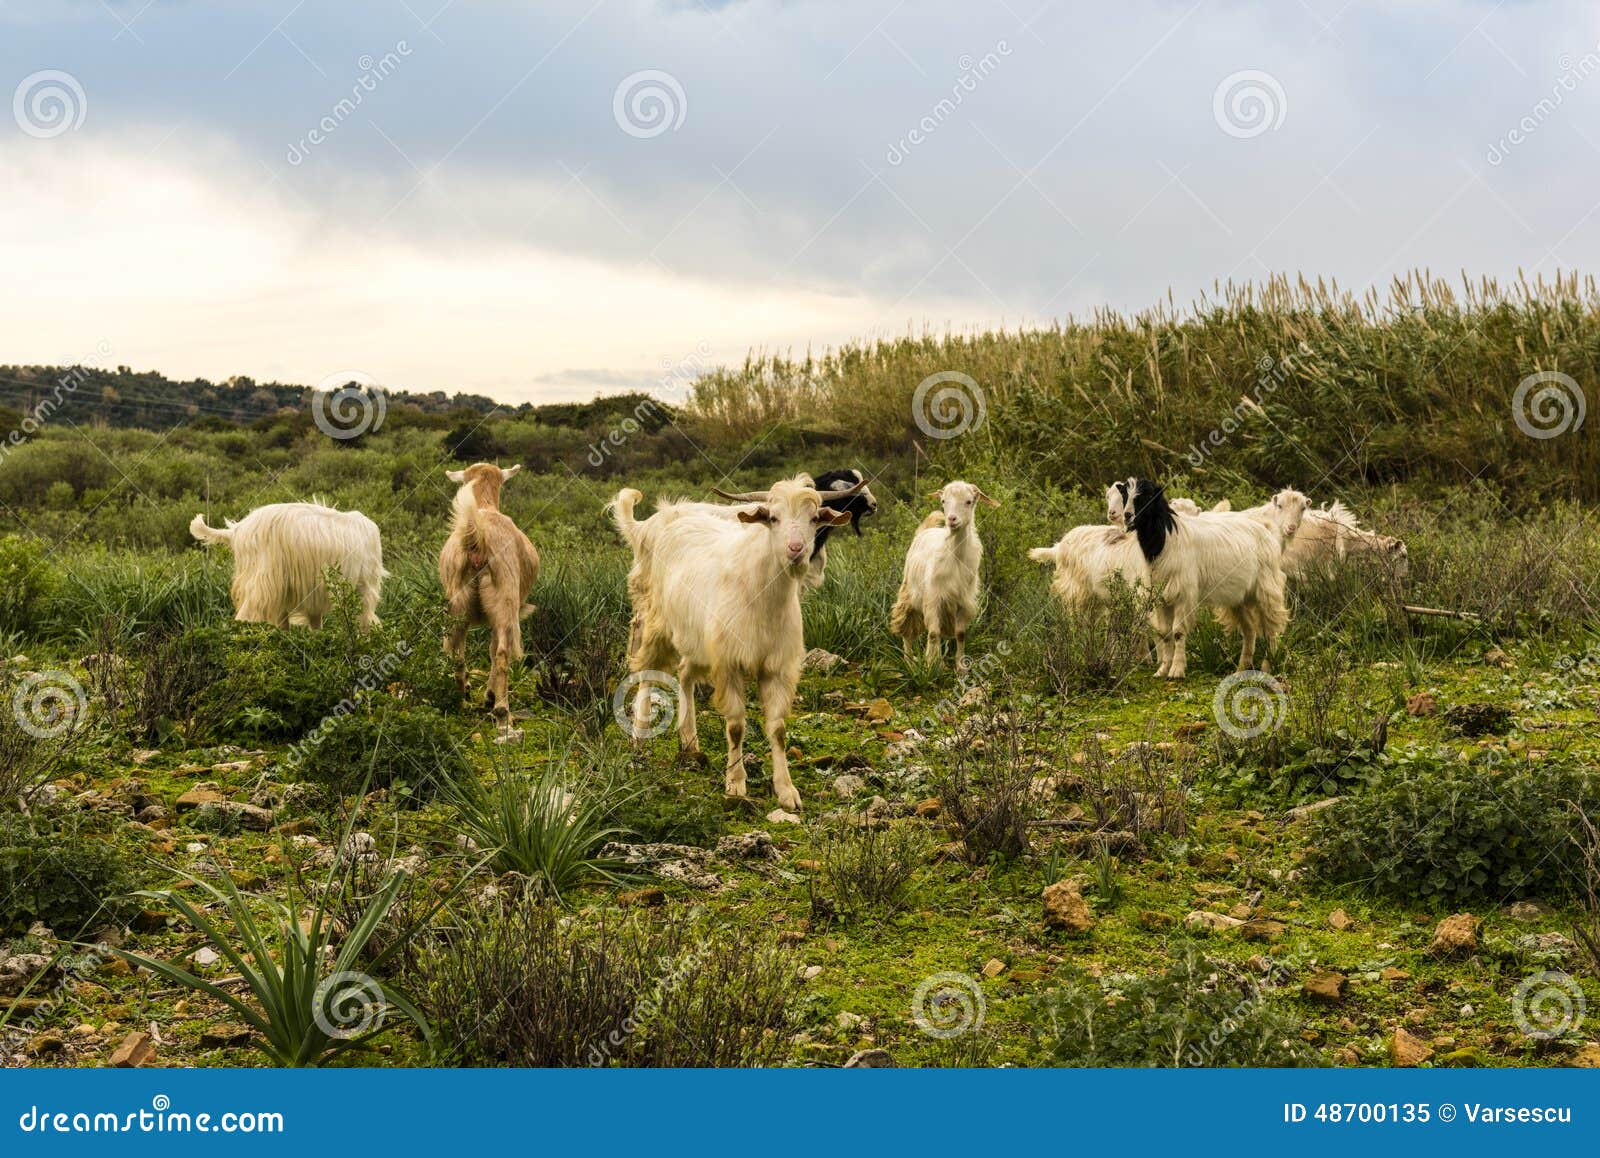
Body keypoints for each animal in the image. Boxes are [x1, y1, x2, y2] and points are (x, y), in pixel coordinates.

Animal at [438, 462, 540, 736]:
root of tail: (477, 539)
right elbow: (493, 651)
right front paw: (490, 696)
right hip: (505, 601)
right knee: (502, 653)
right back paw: (503, 713)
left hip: (456, 605)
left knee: (456, 651)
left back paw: (461, 700)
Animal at [610, 475, 861, 811]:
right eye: (773, 517)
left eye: (813, 518)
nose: (796, 549)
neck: (763, 595)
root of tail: (650, 524)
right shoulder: (728, 663)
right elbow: (736, 726)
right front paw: (736, 783)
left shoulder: (777, 667)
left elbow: (778, 730)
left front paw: (786, 790)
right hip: (654, 622)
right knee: (647, 670)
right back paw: (639, 734)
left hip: (696, 640)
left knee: (685, 674)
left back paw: (690, 742)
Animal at [889, 480, 998, 668]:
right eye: (943, 501)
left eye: (969, 501)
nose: (951, 519)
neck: (955, 555)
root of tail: (924, 530)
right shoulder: (933, 599)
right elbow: (933, 634)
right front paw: (932, 667)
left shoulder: (963, 602)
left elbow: (960, 634)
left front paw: (961, 668)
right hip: (909, 593)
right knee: (907, 627)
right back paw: (910, 662)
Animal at [1122, 478, 1300, 678]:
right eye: (1125, 494)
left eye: (1146, 496)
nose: (1127, 515)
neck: (1166, 539)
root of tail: (1267, 530)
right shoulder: (1162, 596)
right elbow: (1164, 633)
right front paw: (1162, 670)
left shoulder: (1183, 592)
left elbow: (1177, 632)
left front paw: (1177, 670)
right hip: (1240, 596)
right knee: (1250, 630)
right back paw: (1242, 668)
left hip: (1267, 587)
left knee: (1272, 628)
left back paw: (1268, 666)